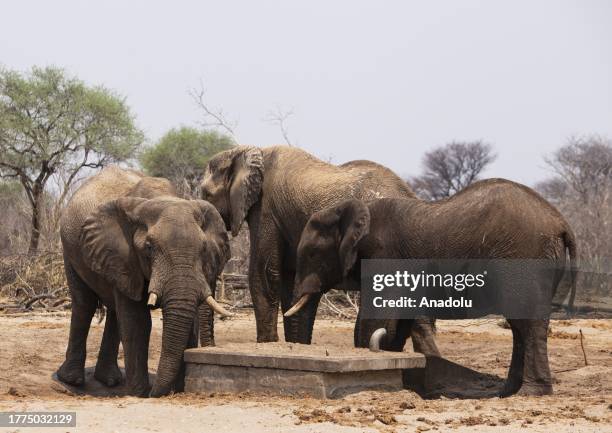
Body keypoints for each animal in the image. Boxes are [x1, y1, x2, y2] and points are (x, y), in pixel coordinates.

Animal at [58, 167, 232, 396]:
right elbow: (138, 321)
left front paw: (174, 391)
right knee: (84, 304)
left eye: (204, 248)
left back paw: (110, 380)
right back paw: (72, 380)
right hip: (70, 250)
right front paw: (139, 394)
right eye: (149, 248)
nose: (156, 393)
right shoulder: (125, 256)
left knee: (114, 310)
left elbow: (188, 318)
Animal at [201, 145, 440, 354]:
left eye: (207, 194)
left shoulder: (265, 209)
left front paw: (268, 344)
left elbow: (265, 274)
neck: (248, 150)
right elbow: (289, 279)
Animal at [286, 177, 580, 394]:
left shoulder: (383, 256)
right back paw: (507, 392)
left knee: (528, 324)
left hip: (525, 258)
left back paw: (530, 392)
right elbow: (399, 324)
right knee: (520, 326)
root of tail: (562, 222)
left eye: (312, 254)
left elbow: (377, 320)